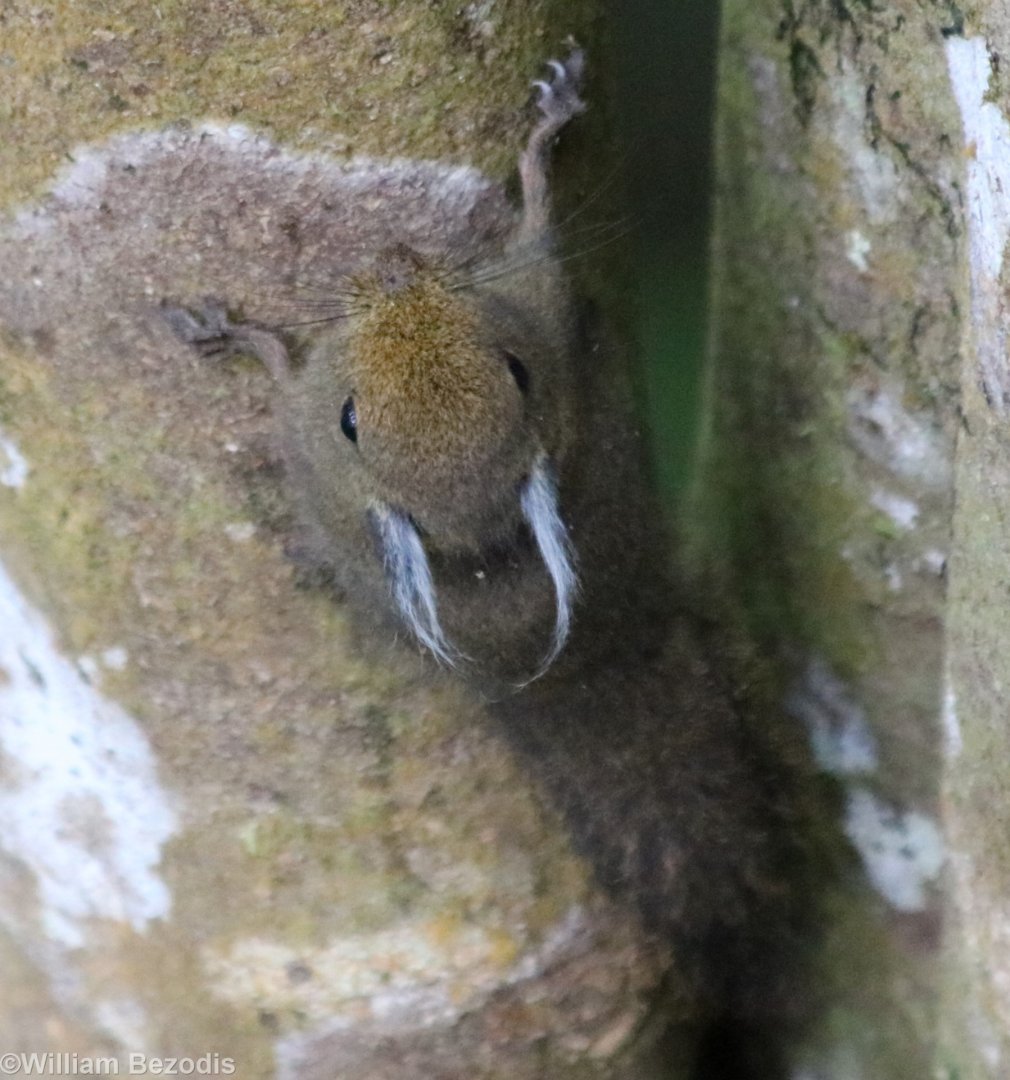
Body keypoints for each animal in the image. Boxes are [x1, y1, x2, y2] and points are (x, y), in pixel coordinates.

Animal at [165, 47, 817, 1073]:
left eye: (512, 369)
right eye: (355, 417)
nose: (394, 267)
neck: (474, 535)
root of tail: (578, 674)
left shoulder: (529, 302)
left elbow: (537, 226)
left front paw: (547, 127)